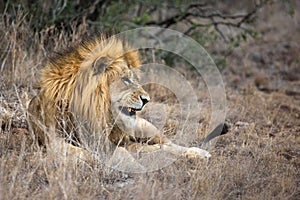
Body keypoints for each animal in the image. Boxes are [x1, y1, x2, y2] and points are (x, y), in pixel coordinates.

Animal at [28, 34, 211, 166]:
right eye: (126, 80)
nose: (147, 99)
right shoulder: (53, 140)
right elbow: (82, 152)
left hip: (144, 126)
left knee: (168, 144)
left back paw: (198, 153)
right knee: (157, 147)